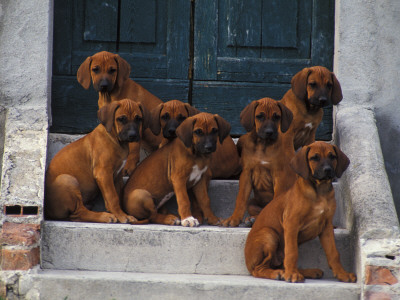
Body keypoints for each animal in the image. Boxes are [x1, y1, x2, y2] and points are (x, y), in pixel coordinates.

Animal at [220, 98, 296, 227]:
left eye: (277, 117)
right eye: (260, 116)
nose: (269, 132)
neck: (262, 144)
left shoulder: (279, 175)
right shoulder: (246, 173)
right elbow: (241, 199)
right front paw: (234, 219)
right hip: (252, 203)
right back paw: (253, 219)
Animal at [244, 142, 356, 282]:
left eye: (332, 156)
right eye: (314, 158)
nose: (328, 170)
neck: (320, 191)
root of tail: (247, 261)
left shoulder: (326, 227)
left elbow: (333, 253)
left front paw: (342, 274)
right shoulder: (291, 223)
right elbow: (292, 253)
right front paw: (292, 274)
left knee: (280, 263)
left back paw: (307, 272)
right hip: (269, 234)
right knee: (259, 269)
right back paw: (278, 273)